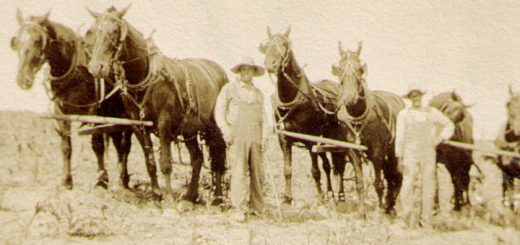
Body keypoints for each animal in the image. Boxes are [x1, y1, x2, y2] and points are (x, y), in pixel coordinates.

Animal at [10, 10, 133, 189]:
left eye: (37, 40)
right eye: (17, 42)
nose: (22, 80)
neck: (73, 70)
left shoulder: (93, 112)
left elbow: (97, 145)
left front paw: (102, 180)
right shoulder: (61, 112)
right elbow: (66, 146)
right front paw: (67, 180)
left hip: (126, 114)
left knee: (124, 145)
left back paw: (124, 178)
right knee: (117, 141)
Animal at [85, 6, 228, 208]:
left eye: (114, 31)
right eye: (92, 31)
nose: (96, 67)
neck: (144, 75)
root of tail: (219, 71)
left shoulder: (163, 122)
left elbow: (165, 163)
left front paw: (168, 200)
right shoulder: (138, 125)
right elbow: (150, 161)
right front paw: (156, 194)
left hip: (213, 125)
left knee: (217, 155)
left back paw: (217, 197)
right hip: (189, 128)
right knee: (197, 158)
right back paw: (189, 197)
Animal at [258, 26, 358, 206]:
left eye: (284, 44)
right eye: (267, 45)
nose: (270, 65)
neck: (292, 99)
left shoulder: (310, 139)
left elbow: (315, 170)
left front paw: (319, 196)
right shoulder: (284, 139)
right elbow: (287, 170)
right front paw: (287, 197)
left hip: (337, 139)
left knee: (339, 165)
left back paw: (340, 195)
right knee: (328, 165)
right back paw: (331, 192)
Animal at [334, 41, 406, 213]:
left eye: (360, 69)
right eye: (339, 69)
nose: (350, 98)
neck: (358, 117)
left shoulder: (378, 151)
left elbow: (378, 183)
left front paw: (380, 210)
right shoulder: (353, 150)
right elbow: (359, 182)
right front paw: (361, 211)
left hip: (393, 150)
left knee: (395, 176)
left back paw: (390, 205)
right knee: (391, 175)